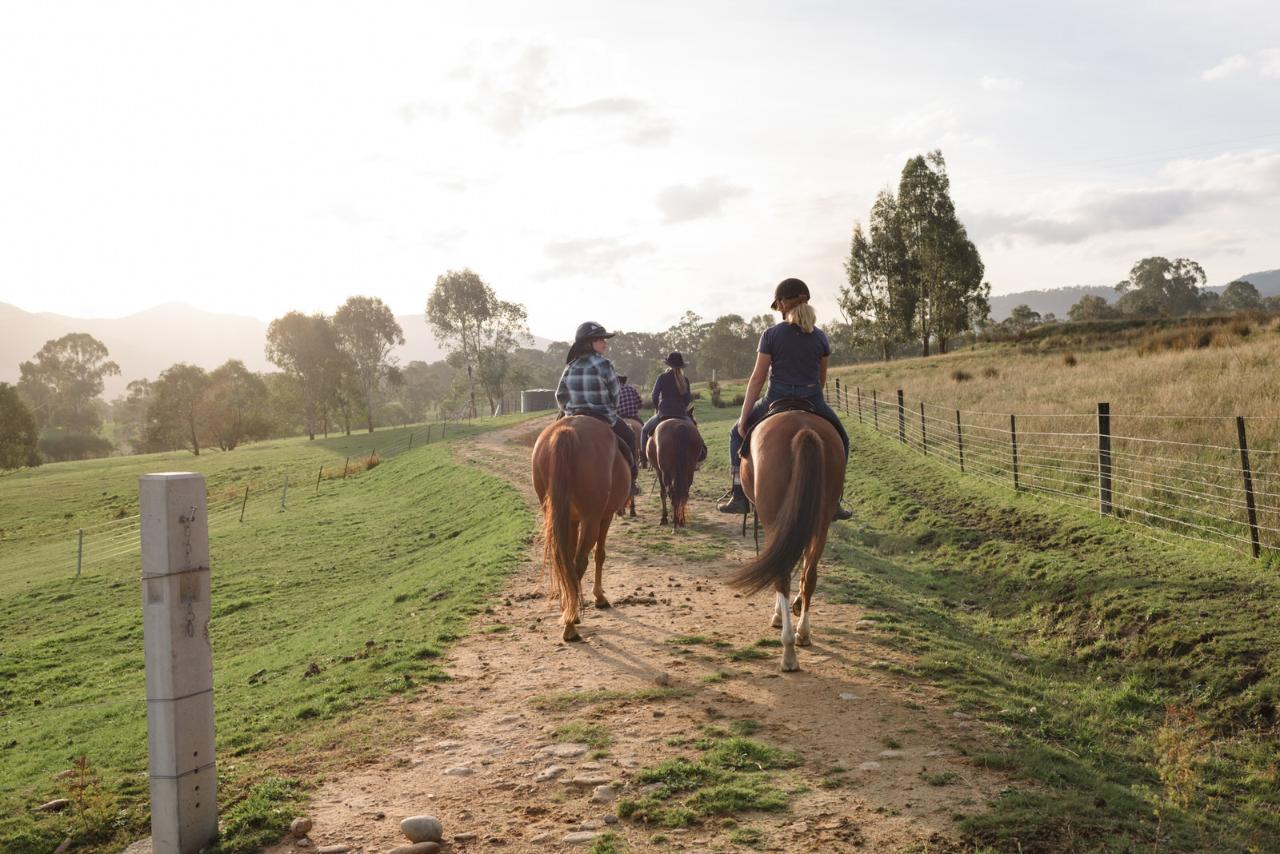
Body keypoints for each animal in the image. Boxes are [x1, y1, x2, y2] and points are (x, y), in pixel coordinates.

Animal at [532, 414, 632, 640]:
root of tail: (567, 431)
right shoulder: (604, 517)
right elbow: (600, 555)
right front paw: (599, 597)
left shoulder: (572, 520)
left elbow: (567, 559)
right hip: (592, 520)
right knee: (579, 563)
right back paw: (571, 624)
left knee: (564, 561)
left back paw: (569, 612)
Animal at [737, 409, 844, 670]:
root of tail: (804, 430)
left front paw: (778, 613)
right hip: (821, 521)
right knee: (809, 575)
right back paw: (803, 633)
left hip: (774, 519)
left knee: (781, 574)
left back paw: (788, 651)